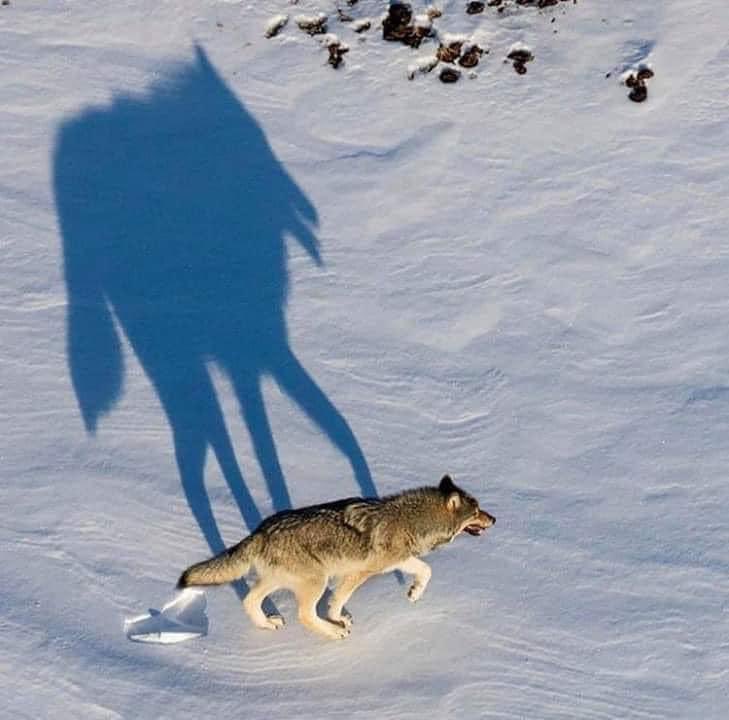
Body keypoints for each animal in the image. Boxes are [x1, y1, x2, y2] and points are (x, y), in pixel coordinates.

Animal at [177, 475, 495, 639]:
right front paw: (337, 620)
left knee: (248, 601)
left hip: (279, 581)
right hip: (316, 581)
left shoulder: (398, 560)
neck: (412, 520)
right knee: (305, 615)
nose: (495, 519)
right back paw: (332, 633)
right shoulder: (359, 573)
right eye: (477, 511)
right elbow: (338, 600)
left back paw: (267, 624)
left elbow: (425, 570)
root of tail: (261, 531)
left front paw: (414, 593)